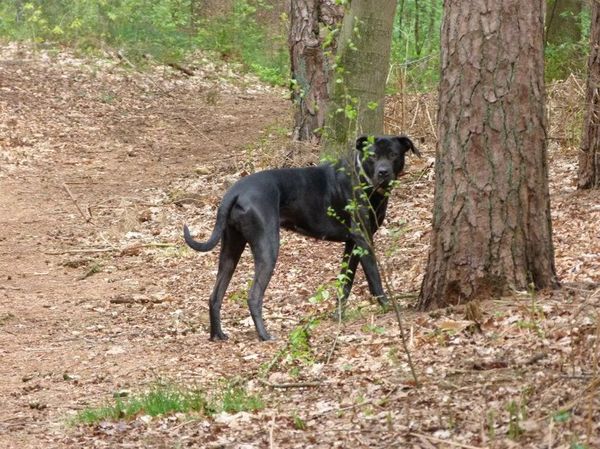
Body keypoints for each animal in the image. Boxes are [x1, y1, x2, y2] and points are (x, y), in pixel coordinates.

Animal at [185, 134, 420, 340]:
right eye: (372, 156)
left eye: (393, 154)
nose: (383, 172)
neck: (363, 179)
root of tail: (235, 191)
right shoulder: (363, 239)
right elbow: (374, 278)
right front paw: (388, 308)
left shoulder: (352, 244)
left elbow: (345, 283)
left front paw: (339, 316)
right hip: (267, 247)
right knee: (253, 296)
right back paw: (264, 335)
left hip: (231, 249)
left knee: (215, 295)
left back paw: (217, 335)